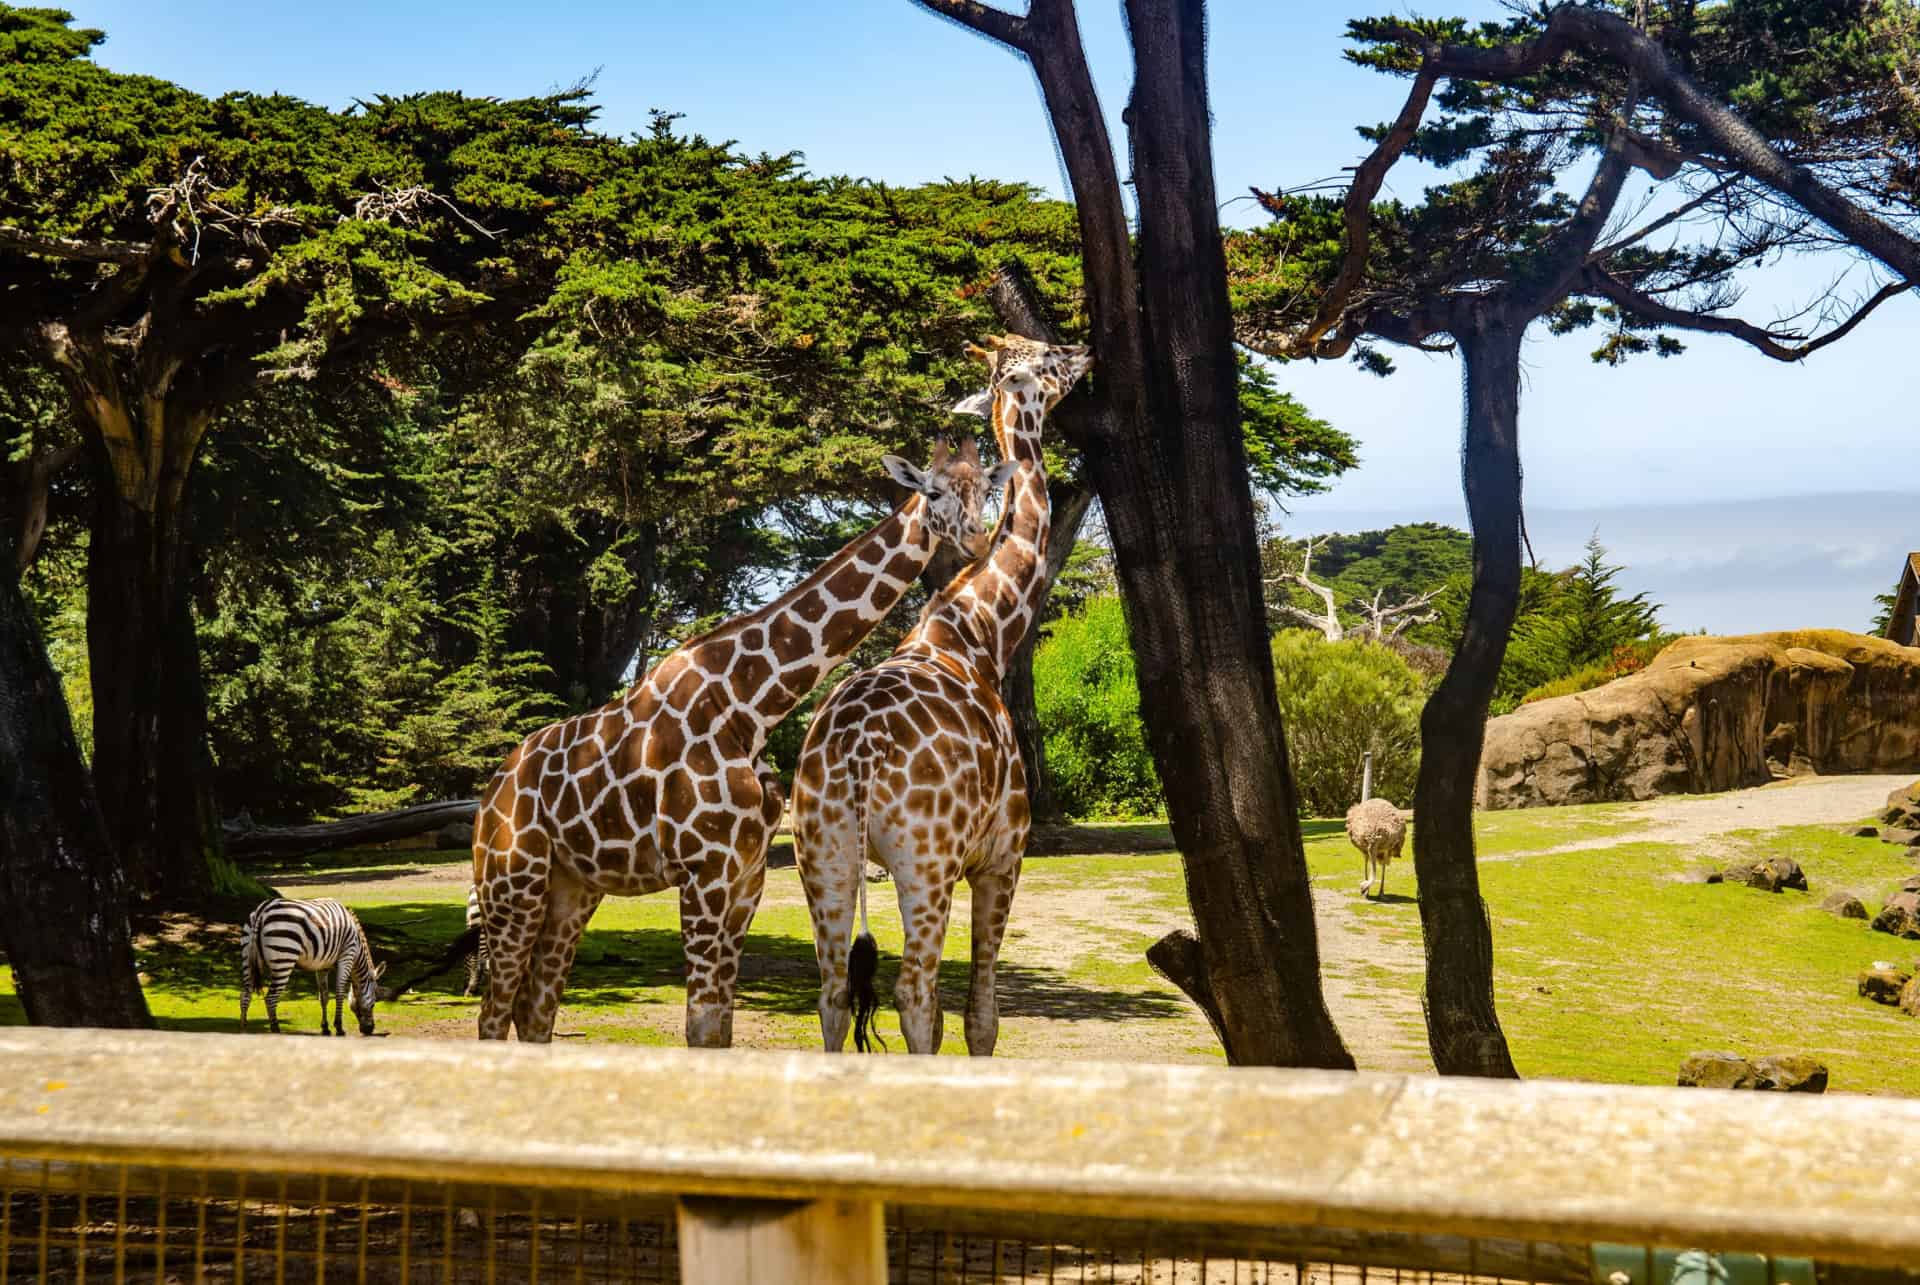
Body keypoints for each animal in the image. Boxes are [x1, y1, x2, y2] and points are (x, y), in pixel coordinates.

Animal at [240, 898, 382, 1037]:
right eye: (374, 1003)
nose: (369, 1030)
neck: (357, 949)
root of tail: (262, 910)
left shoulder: (323, 965)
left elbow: (324, 996)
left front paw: (325, 1028)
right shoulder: (347, 955)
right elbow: (339, 991)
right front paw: (339, 1028)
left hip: (247, 957)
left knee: (245, 994)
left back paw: (244, 1029)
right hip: (284, 958)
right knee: (271, 998)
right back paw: (276, 1030)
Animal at [472, 436, 1006, 1044]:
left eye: (985, 490)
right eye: (934, 491)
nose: (976, 540)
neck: (749, 706)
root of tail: (488, 796)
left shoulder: (746, 877)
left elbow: (721, 1026)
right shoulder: (702, 874)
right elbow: (701, 1024)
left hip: (572, 889)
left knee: (534, 1009)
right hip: (511, 883)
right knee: (494, 1010)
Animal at [794, 336, 1098, 1060]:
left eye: (984, 486)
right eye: (1046, 361)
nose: (1085, 352)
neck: (981, 630)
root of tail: (854, 759)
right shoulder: (1002, 855)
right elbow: (979, 1017)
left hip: (822, 855)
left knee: (832, 994)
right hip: (922, 863)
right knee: (912, 993)